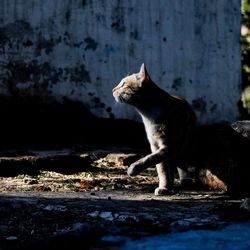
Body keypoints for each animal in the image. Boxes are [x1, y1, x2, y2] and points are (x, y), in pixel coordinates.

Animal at [112, 63, 196, 195]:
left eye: (123, 84)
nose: (112, 90)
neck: (148, 114)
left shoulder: (170, 145)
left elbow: (150, 159)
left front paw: (133, 168)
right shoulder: (155, 145)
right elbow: (161, 169)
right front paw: (165, 186)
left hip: (185, 145)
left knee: (182, 161)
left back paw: (185, 180)